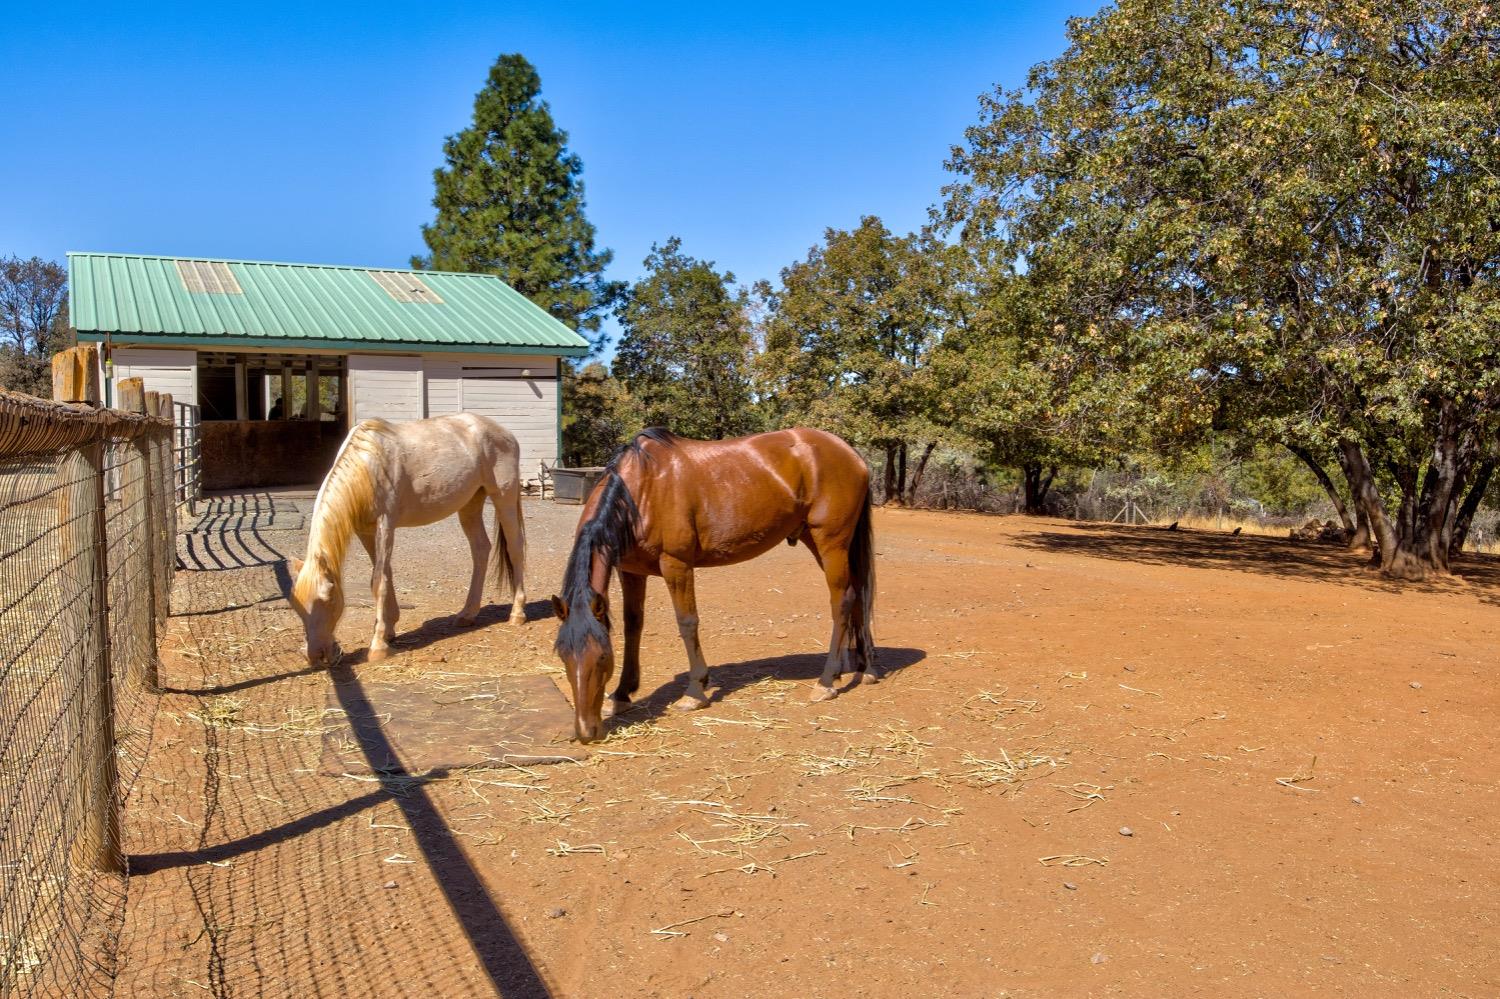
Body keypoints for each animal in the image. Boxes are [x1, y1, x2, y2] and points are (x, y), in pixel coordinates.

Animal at [289, 411, 531, 660]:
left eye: (327, 598)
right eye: (296, 605)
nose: (314, 655)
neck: (368, 466)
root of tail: (505, 433)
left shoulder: (385, 524)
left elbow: (378, 581)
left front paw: (378, 646)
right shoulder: (365, 531)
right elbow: (385, 573)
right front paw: (388, 630)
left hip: (503, 497)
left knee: (515, 548)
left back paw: (517, 613)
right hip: (470, 504)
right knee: (481, 549)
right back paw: (467, 614)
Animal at [552, 423, 876, 744]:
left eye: (602, 656)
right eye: (563, 655)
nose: (586, 732)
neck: (641, 491)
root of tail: (850, 453)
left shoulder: (676, 565)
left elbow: (687, 622)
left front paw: (695, 691)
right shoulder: (630, 571)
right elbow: (633, 626)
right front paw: (621, 694)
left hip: (831, 543)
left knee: (842, 602)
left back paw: (826, 681)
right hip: (821, 542)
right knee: (857, 595)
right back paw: (864, 669)